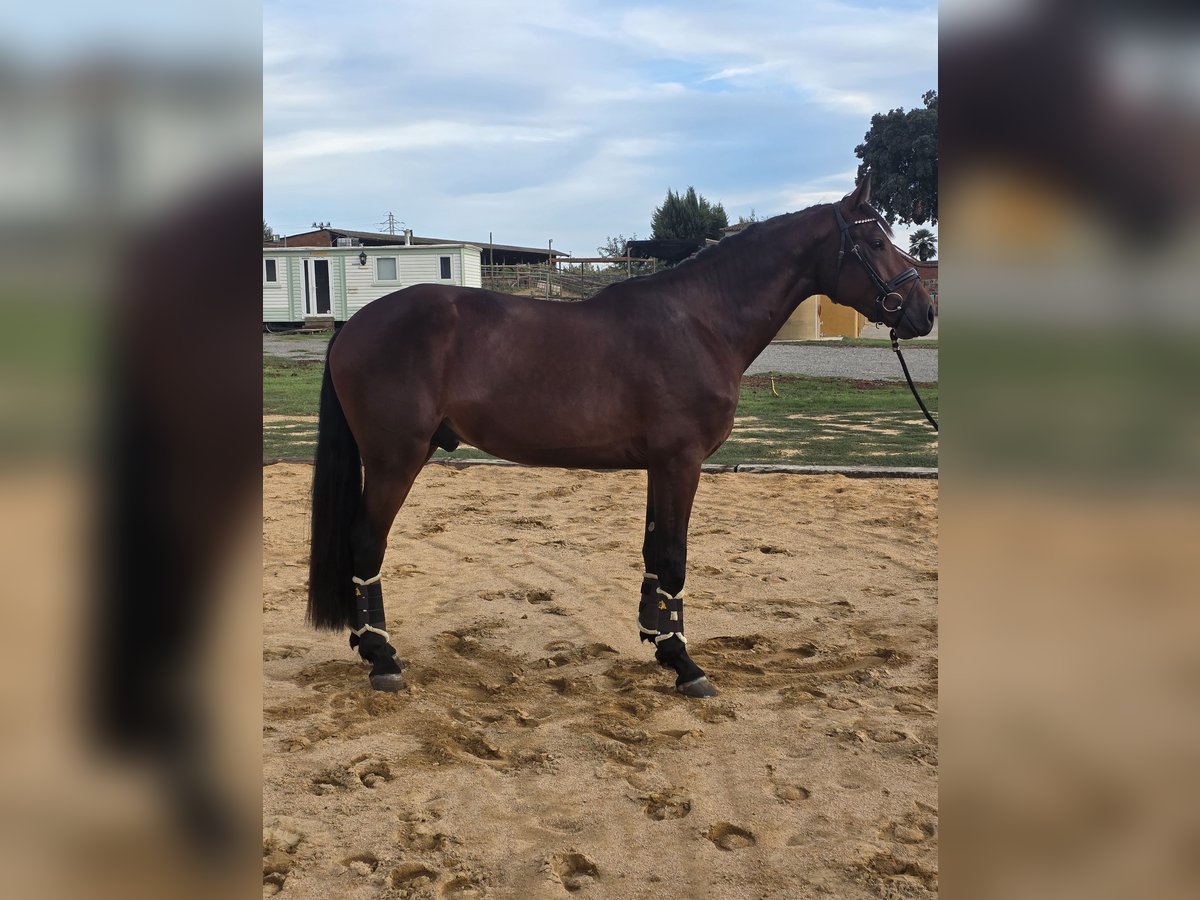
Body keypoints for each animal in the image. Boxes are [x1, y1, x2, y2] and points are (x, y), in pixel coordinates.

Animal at [306, 175, 935, 698]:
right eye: (874, 240)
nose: (924, 311)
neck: (700, 322)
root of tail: (354, 325)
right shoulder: (682, 462)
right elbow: (675, 556)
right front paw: (686, 665)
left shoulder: (663, 466)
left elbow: (655, 553)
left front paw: (659, 644)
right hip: (395, 458)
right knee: (366, 542)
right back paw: (382, 657)